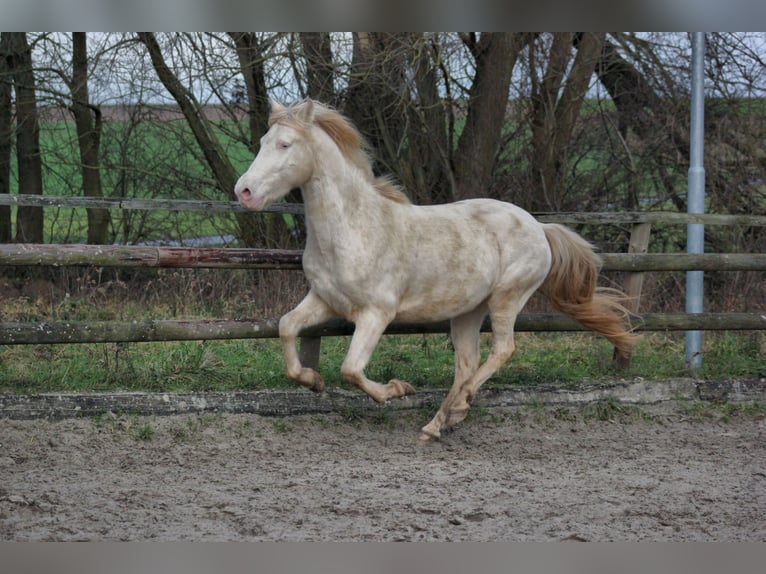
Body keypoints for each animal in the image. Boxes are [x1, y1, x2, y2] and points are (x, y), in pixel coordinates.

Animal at [237, 99, 640, 444]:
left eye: (285, 144)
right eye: (263, 142)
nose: (244, 191)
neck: (352, 228)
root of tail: (540, 227)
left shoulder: (376, 313)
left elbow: (351, 369)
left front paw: (396, 389)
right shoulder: (324, 299)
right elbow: (287, 327)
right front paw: (313, 381)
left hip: (506, 298)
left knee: (502, 350)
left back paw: (459, 406)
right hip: (468, 311)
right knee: (467, 363)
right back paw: (438, 423)